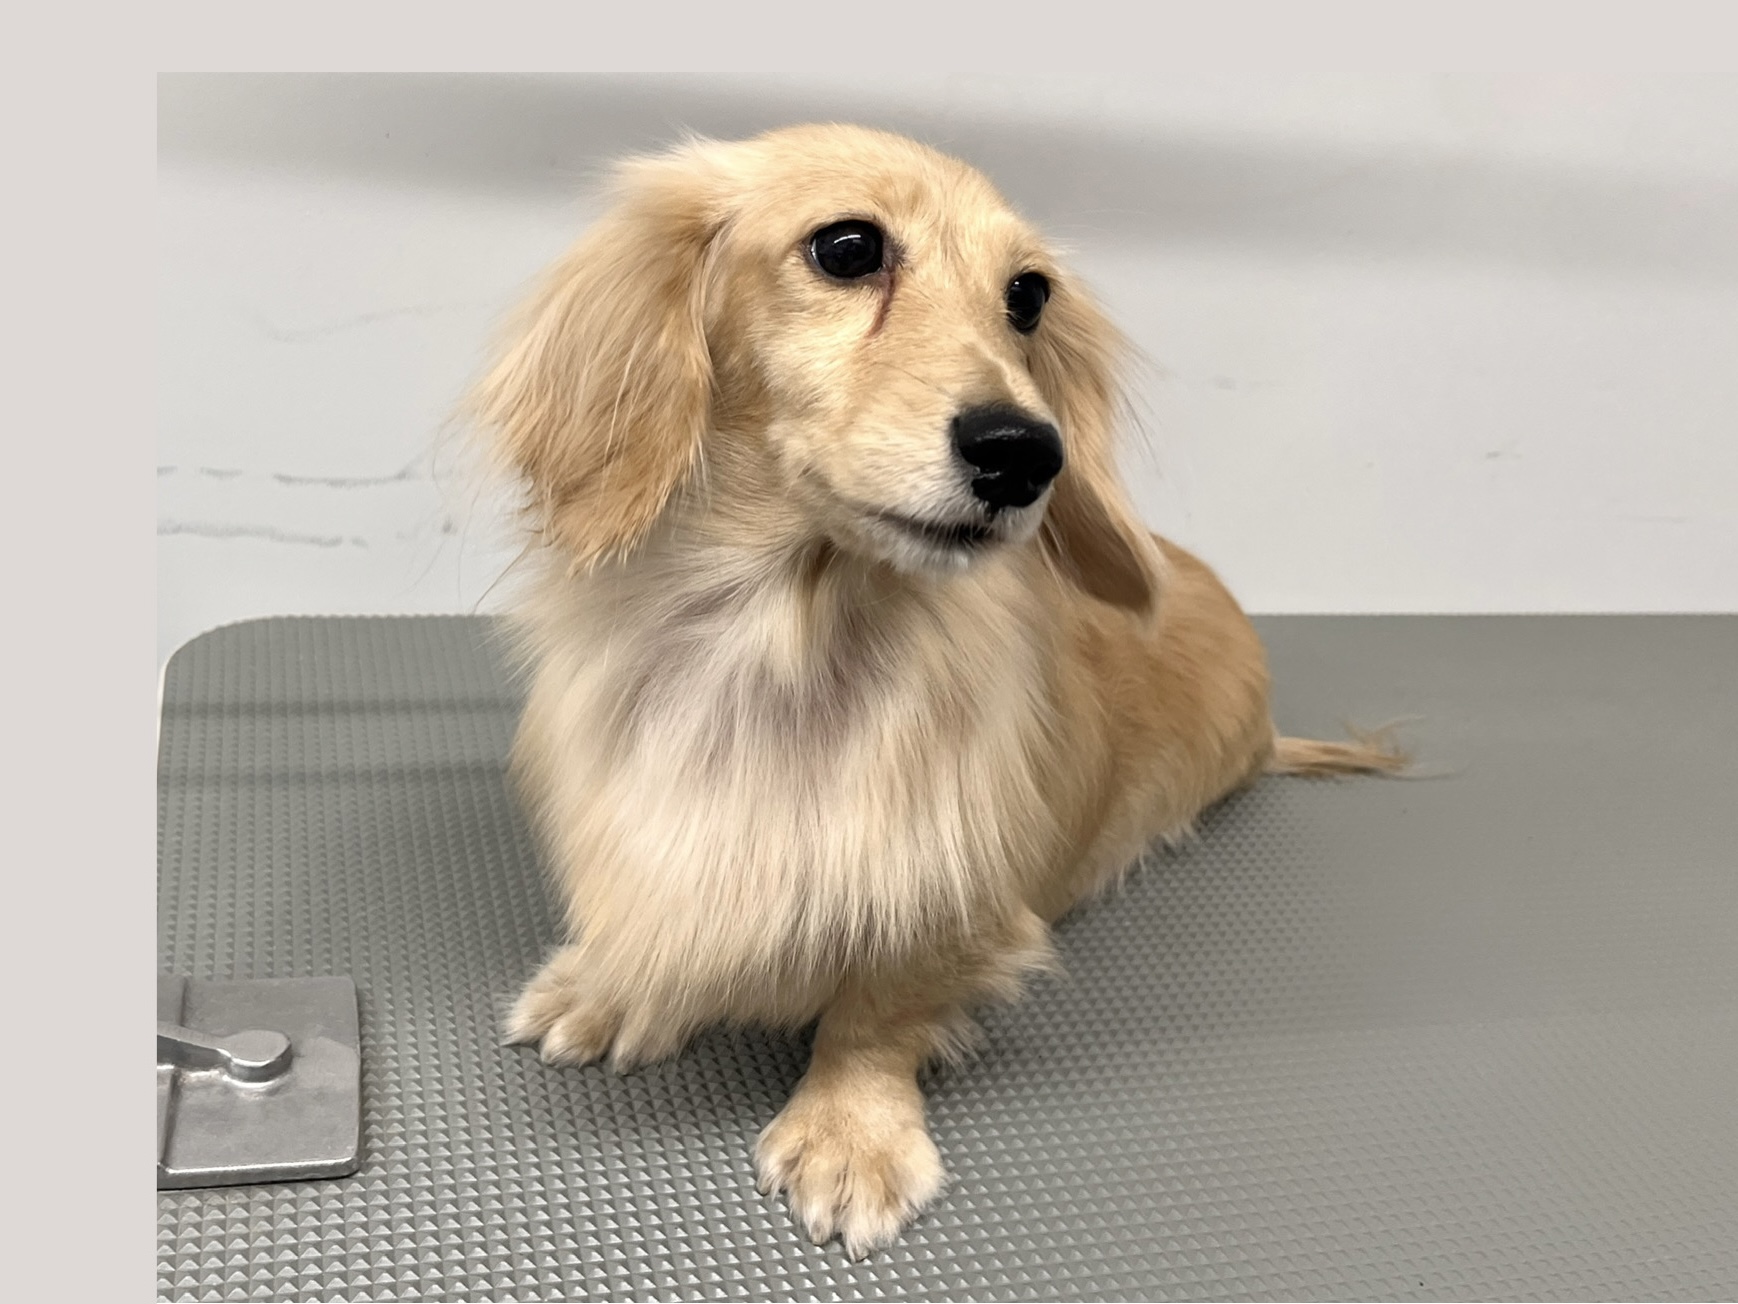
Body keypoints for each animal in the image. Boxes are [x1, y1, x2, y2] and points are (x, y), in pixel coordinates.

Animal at [469, 123, 1403, 1257]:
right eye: (848, 246)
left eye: (1028, 295)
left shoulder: (952, 901)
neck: (778, 647)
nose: (1025, 454)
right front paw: (609, 991)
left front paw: (849, 1131)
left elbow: (876, 1010)